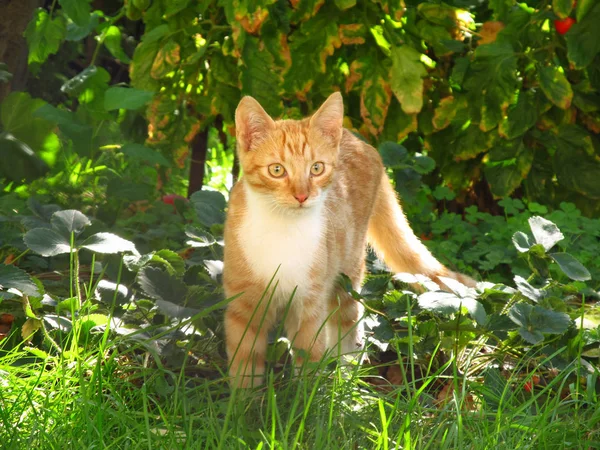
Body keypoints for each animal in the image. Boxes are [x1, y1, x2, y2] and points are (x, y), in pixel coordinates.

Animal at [223, 91, 476, 386]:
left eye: (316, 168)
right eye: (276, 170)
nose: (302, 195)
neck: (283, 229)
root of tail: (361, 141)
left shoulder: (310, 302)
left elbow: (309, 357)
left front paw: (306, 395)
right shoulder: (243, 304)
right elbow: (245, 363)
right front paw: (243, 398)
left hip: (347, 272)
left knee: (348, 324)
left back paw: (343, 378)